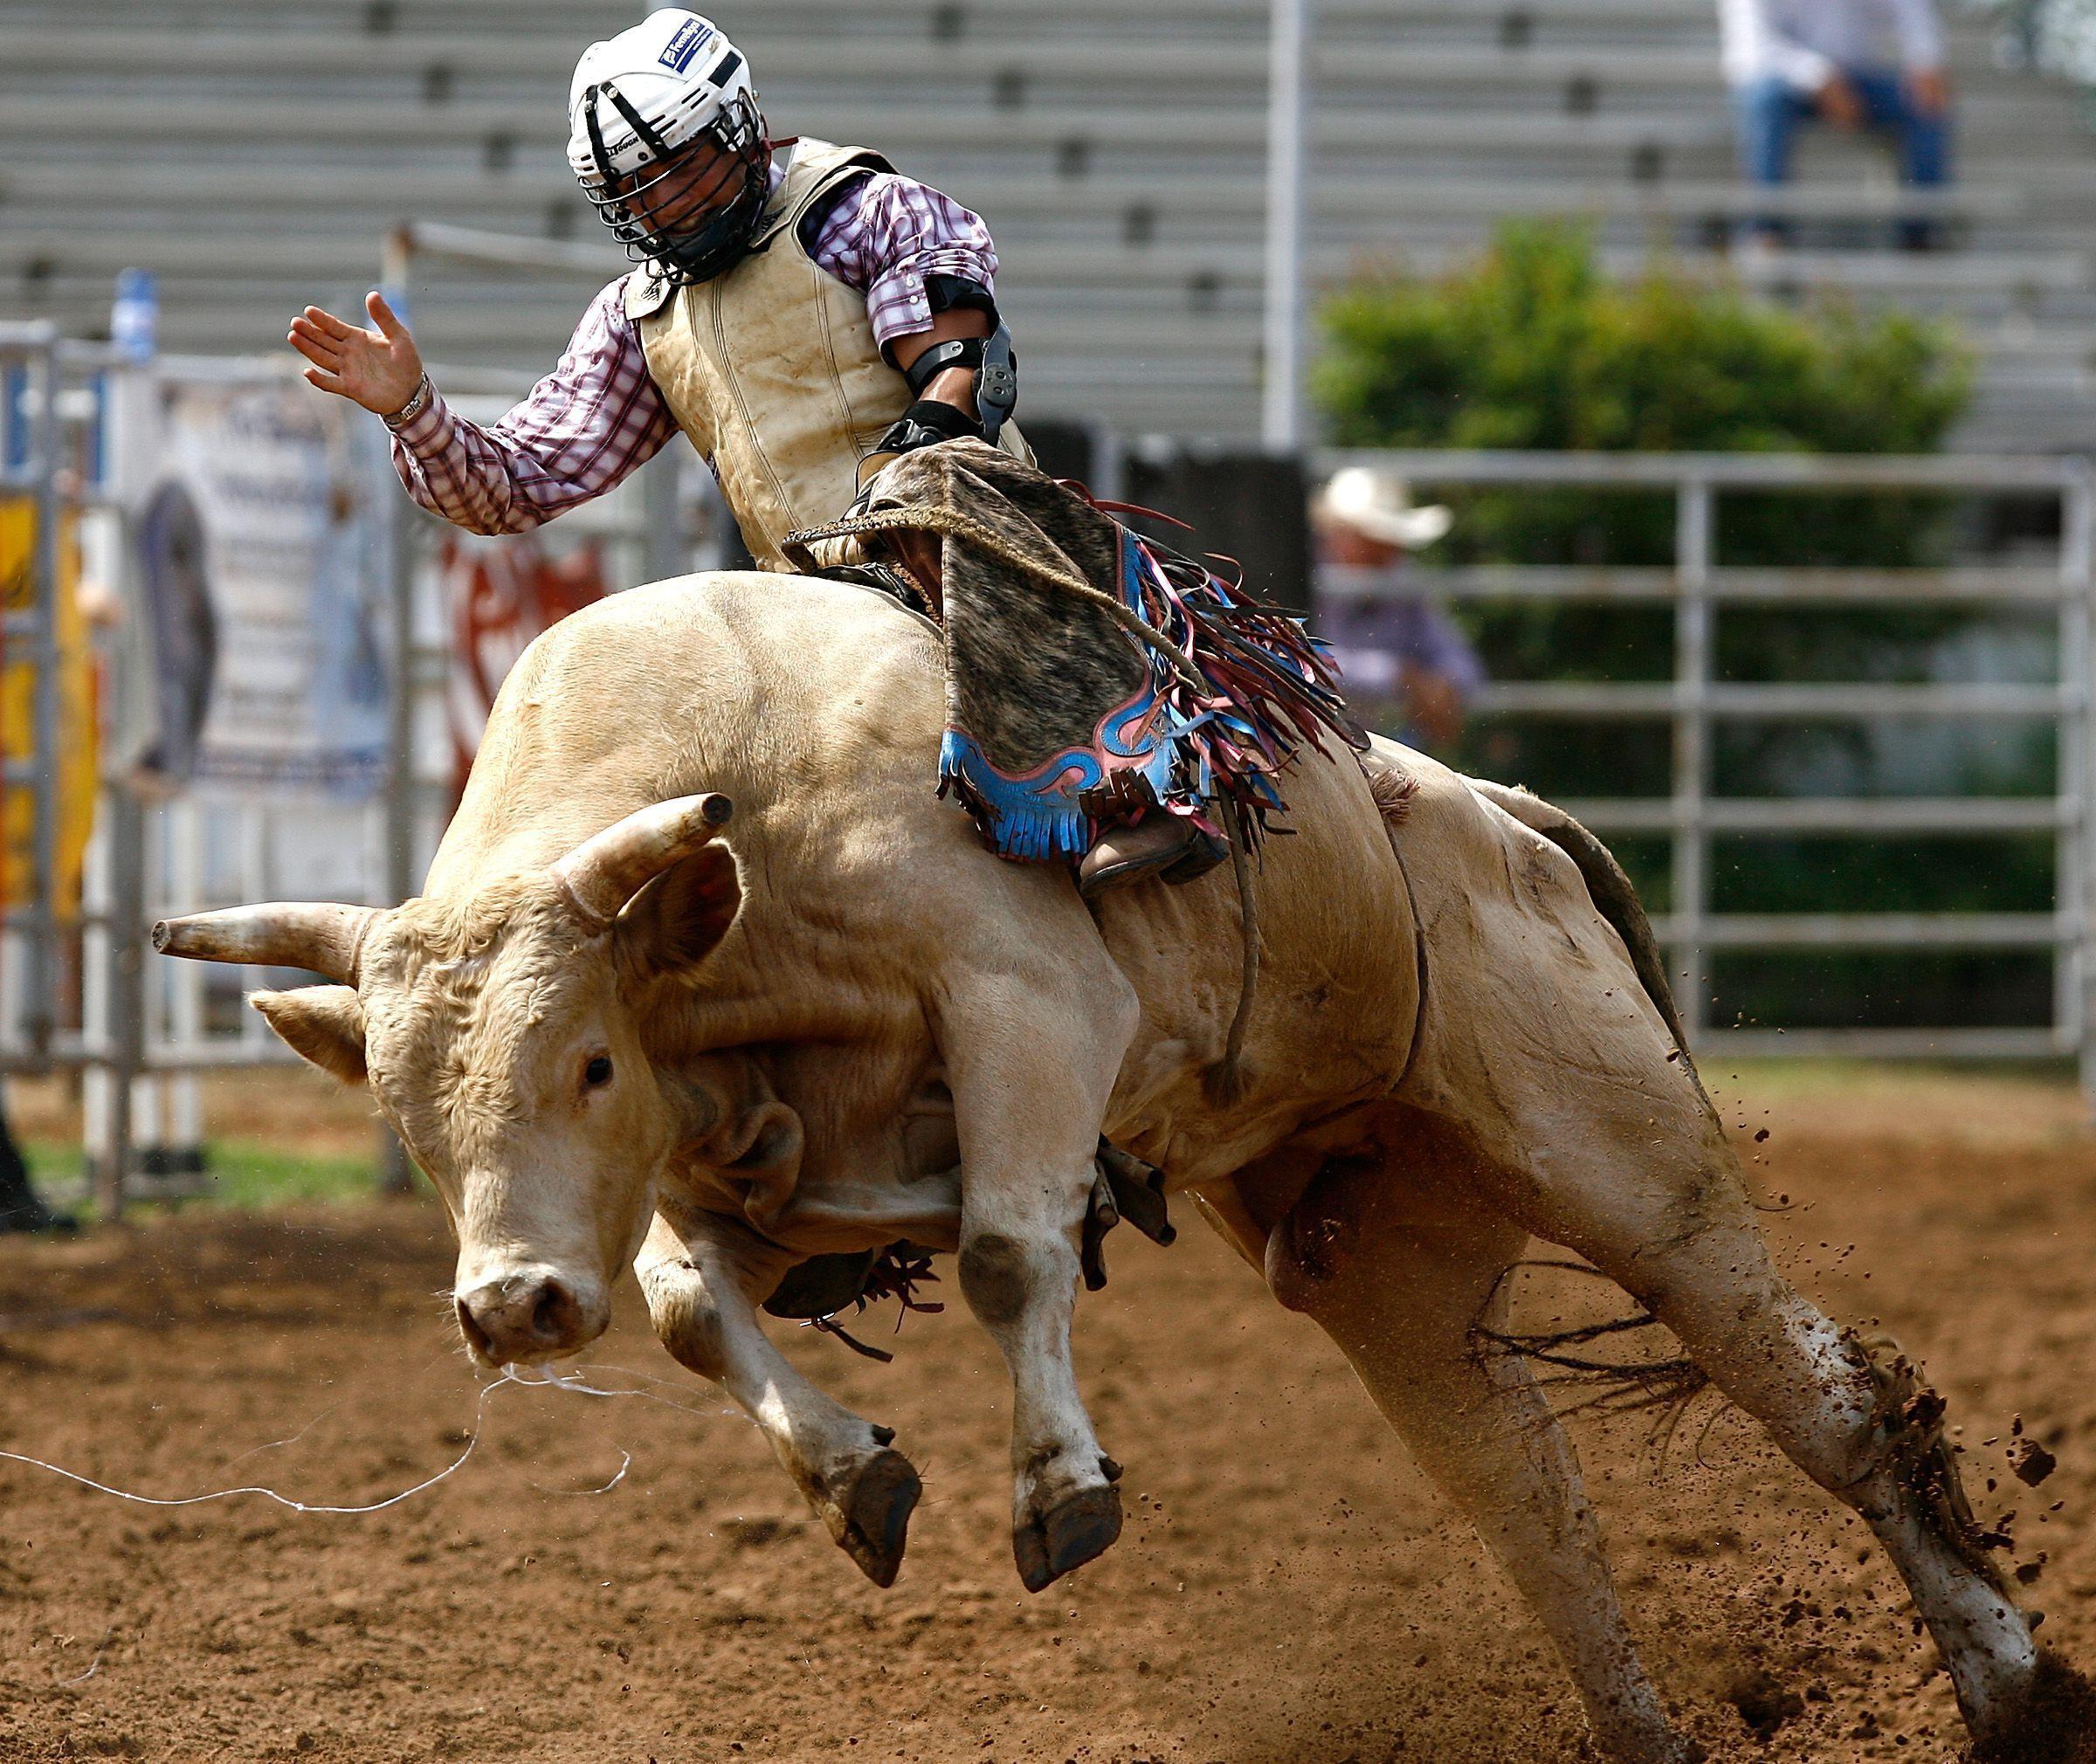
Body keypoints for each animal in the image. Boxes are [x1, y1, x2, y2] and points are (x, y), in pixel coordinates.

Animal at [156, 570, 2070, 1763]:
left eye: (591, 1057)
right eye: (404, 1117)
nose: (513, 1308)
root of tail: (1502, 813)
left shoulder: (1029, 1015)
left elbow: (1012, 1256)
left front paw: (1056, 1489)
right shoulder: (764, 1168)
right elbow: (703, 1311)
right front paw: (857, 1478)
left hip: (1623, 1151)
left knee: (1819, 1398)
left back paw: (2015, 1686)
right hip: (1398, 1270)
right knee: (1525, 1494)